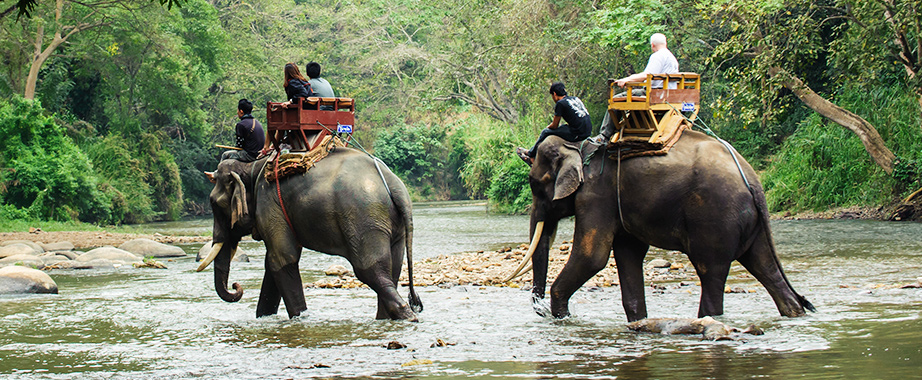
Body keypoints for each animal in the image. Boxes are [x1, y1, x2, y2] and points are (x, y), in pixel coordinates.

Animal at [199, 148, 422, 320]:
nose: (236, 286)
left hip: (364, 218)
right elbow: (274, 263)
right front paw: (263, 317)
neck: (252, 166)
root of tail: (394, 184)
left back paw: (407, 316)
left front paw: (300, 318)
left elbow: (281, 259)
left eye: (214, 204)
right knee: (392, 267)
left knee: (369, 270)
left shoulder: (269, 203)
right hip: (390, 224)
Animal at [510, 132, 812, 322]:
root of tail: (753, 181)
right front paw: (637, 322)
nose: (541, 310)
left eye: (535, 185)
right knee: (765, 266)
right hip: (752, 223)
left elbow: (592, 257)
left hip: (715, 218)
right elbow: (628, 253)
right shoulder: (617, 203)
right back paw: (794, 312)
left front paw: (564, 318)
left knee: (711, 272)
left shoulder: (596, 197)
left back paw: (708, 320)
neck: (577, 145)